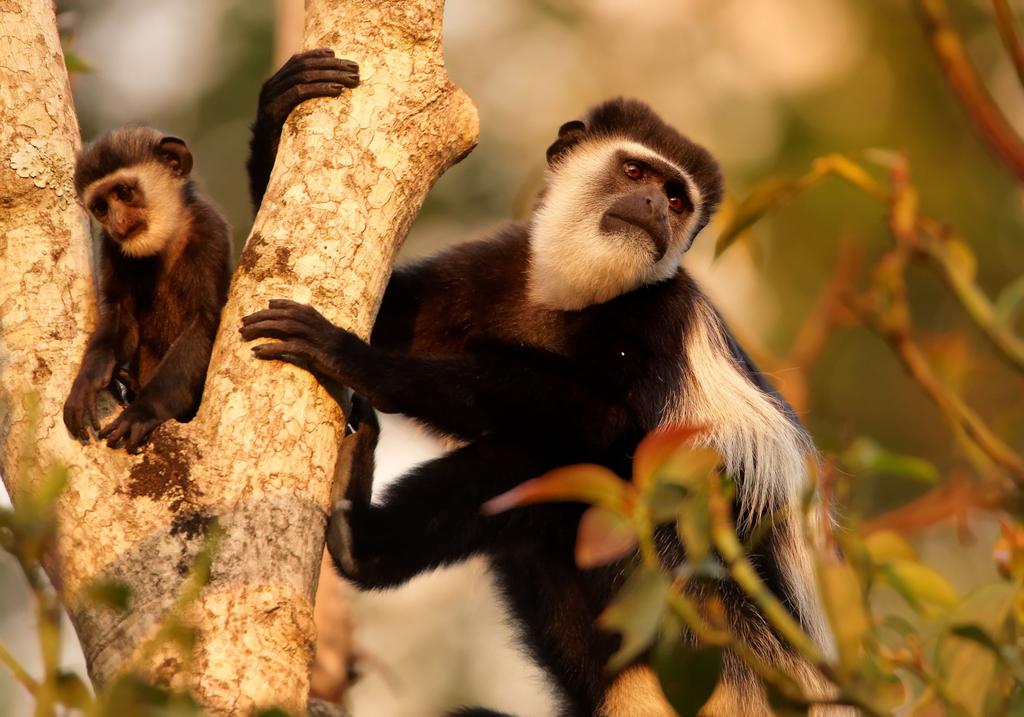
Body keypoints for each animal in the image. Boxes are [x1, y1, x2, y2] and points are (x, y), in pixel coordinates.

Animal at [63, 126, 231, 453]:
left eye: (124, 192)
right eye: (101, 208)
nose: (118, 223)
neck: (165, 243)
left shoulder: (209, 234)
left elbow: (202, 325)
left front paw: (141, 413)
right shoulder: (114, 250)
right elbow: (121, 317)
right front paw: (89, 377)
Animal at [242, 62, 841, 716]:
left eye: (677, 199)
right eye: (636, 172)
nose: (654, 206)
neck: (573, 297)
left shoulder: (658, 317)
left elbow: (608, 422)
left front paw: (356, 359)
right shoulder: (491, 267)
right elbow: (391, 311)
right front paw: (280, 106)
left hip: (692, 603)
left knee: (562, 461)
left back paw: (363, 542)